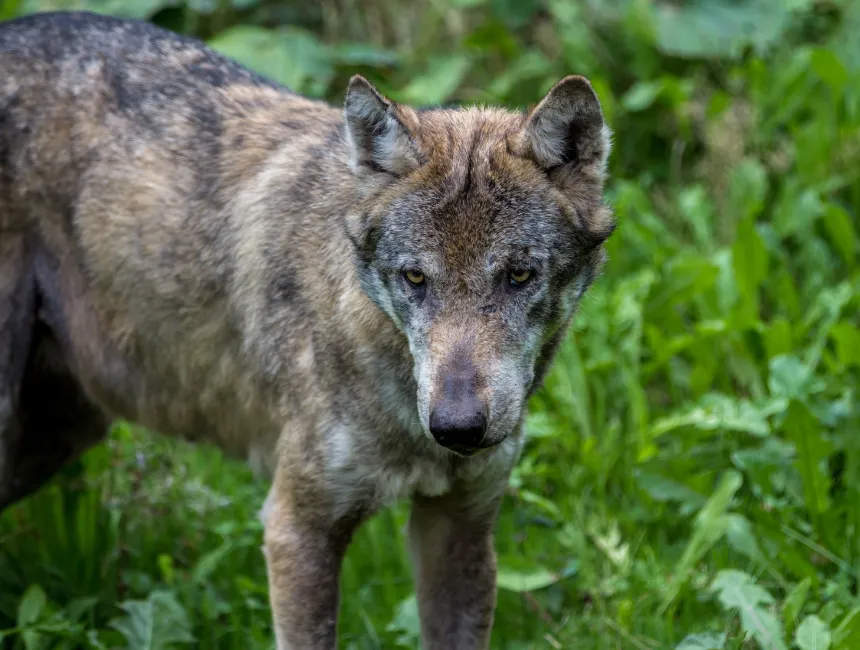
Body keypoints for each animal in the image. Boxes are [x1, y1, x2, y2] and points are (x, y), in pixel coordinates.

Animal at [0, 11, 612, 648]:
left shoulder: (460, 528)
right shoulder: (297, 527)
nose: (457, 427)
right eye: (415, 277)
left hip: (59, 434)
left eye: (518, 274)